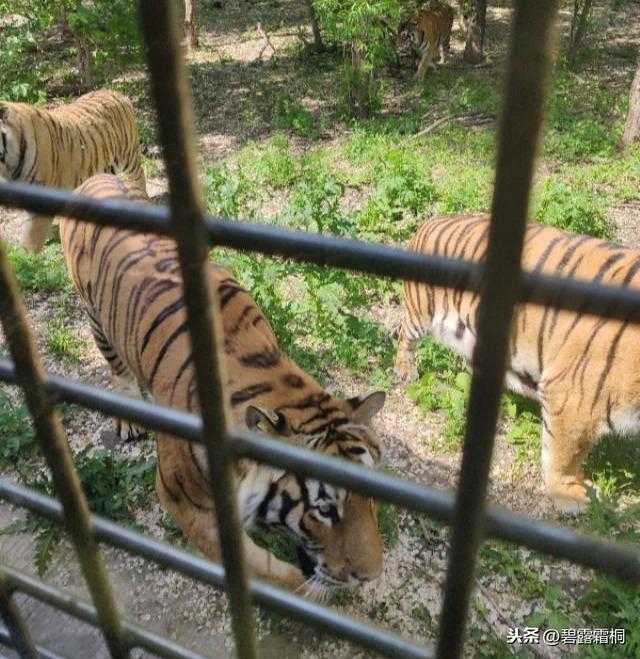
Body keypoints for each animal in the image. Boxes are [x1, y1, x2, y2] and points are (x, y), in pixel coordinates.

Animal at [60, 174, 388, 592]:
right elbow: (260, 569)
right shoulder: (183, 499)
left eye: (371, 496)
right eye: (325, 510)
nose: (372, 576)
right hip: (96, 321)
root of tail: (95, 177)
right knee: (118, 370)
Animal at [396, 217, 640, 516]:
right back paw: (404, 369)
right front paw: (571, 495)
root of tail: (432, 220)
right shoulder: (572, 400)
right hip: (420, 312)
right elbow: (565, 455)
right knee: (404, 334)